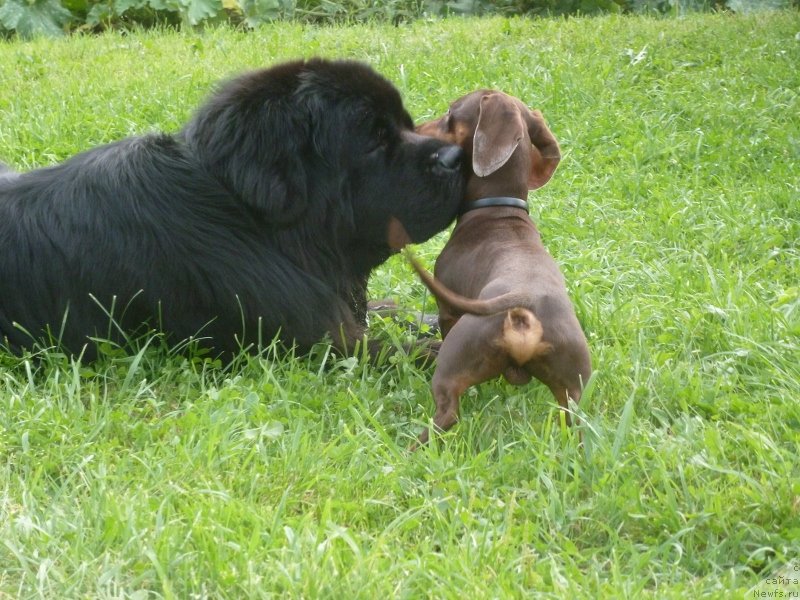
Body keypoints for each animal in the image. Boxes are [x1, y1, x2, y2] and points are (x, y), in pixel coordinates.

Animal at [0, 57, 462, 356]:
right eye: (374, 141)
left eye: (406, 124)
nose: (457, 157)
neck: (241, 215)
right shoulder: (312, 343)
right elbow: (411, 353)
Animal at [410, 90, 592, 446]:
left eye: (450, 115)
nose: (415, 128)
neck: (498, 210)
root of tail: (524, 308)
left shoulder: (447, 311)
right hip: (573, 391)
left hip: (455, 360)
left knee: (447, 414)